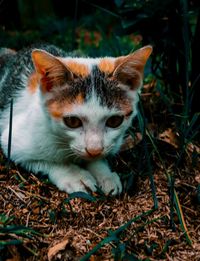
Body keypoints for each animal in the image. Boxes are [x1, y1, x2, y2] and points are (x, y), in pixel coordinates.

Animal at [0, 43, 152, 195]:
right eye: (72, 121)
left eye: (114, 121)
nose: (94, 150)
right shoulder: (13, 141)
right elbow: (53, 162)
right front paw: (75, 177)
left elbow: (97, 159)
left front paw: (105, 174)